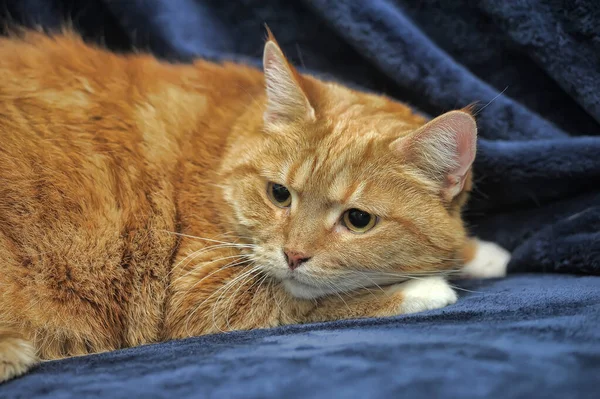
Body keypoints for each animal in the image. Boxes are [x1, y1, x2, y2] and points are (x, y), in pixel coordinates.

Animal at [0, 29, 510, 382]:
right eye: (279, 194)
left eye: (358, 219)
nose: (294, 255)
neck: (223, 147)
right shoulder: (201, 294)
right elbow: (308, 301)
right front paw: (426, 287)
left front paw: (477, 252)